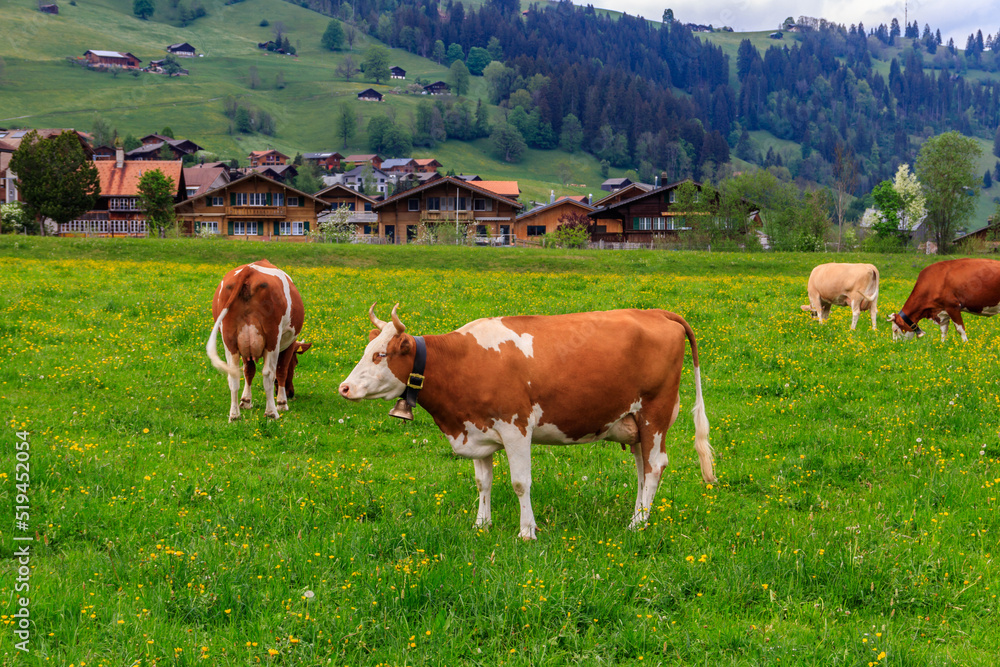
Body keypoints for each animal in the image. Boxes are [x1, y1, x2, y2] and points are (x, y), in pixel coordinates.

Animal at [206, 260, 304, 420]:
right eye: (295, 363)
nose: (291, 393)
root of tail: (249, 270)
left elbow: (249, 371)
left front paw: (246, 401)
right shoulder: (288, 343)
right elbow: (281, 371)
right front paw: (282, 403)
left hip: (229, 340)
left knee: (233, 375)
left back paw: (234, 415)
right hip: (272, 339)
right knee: (268, 374)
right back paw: (271, 412)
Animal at [340, 306, 716, 540]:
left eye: (380, 355)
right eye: (366, 351)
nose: (344, 387)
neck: (462, 361)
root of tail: (656, 312)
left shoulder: (516, 428)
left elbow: (520, 483)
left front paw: (526, 531)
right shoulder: (477, 431)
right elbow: (483, 483)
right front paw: (482, 525)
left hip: (656, 413)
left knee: (655, 467)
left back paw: (636, 526)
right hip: (634, 422)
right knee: (642, 470)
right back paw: (639, 515)